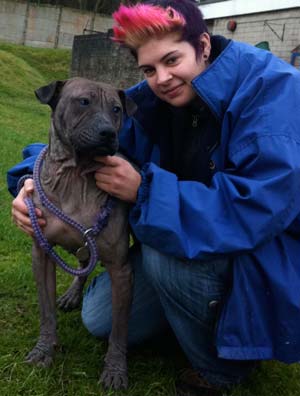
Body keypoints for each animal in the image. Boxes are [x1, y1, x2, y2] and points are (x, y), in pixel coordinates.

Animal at [26, 77, 137, 390]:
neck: (75, 178)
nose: (108, 132)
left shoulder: (121, 271)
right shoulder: (41, 254)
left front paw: (115, 369)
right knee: (83, 264)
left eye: (116, 109)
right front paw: (44, 350)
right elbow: (46, 312)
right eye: (83, 102)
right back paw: (73, 294)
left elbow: (119, 330)